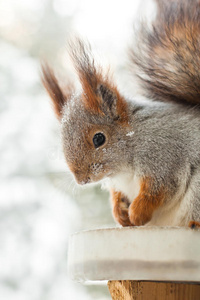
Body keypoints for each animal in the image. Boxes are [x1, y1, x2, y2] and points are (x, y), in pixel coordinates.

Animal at [41, 0, 200, 229]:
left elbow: (157, 190)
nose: (81, 180)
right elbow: (117, 194)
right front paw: (120, 213)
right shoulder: (119, 183)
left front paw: (137, 213)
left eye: (99, 138)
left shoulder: (164, 158)